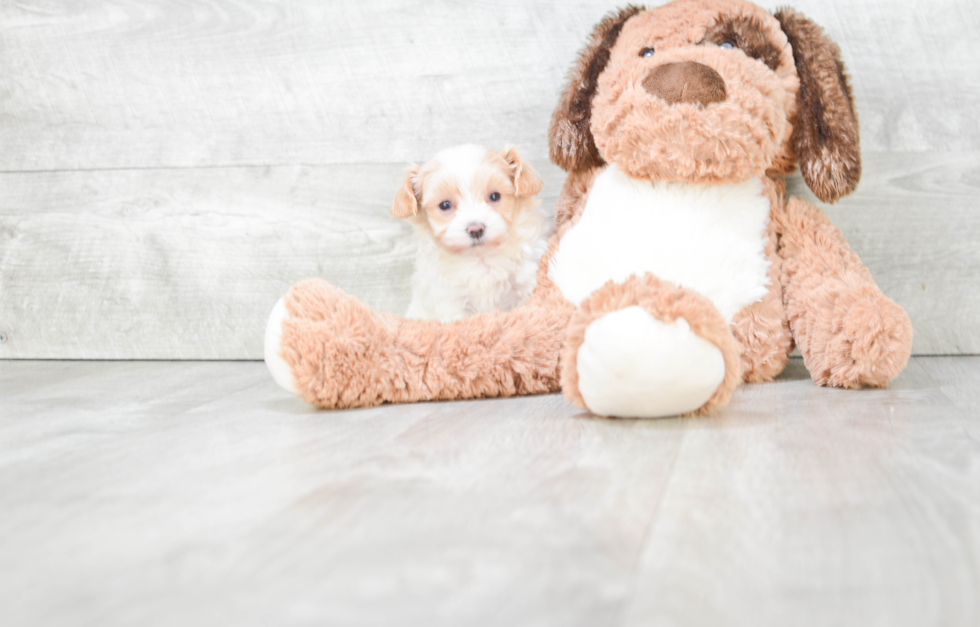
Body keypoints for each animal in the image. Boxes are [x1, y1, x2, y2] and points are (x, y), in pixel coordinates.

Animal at [390, 146, 552, 324]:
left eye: (494, 196)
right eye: (445, 205)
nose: (476, 229)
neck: (481, 258)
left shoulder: (526, 283)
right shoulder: (452, 301)